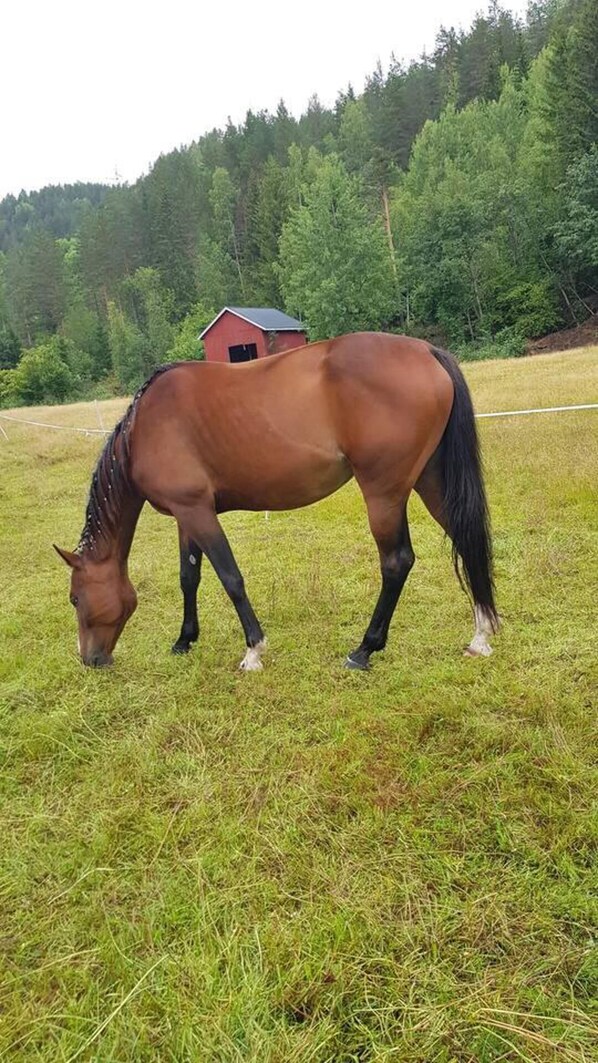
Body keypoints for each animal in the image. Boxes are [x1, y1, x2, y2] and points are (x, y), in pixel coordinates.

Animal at [54, 332, 499, 671]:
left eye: (75, 598)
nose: (90, 660)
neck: (145, 428)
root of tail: (426, 351)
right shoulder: (186, 515)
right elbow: (189, 576)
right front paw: (185, 640)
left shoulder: (197, 511)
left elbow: (230, 577)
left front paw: (253, 650)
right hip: (430, 481)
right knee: (466, 540)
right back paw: (480, 636)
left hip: (384, 492)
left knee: (396, 562)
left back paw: (364, 649)